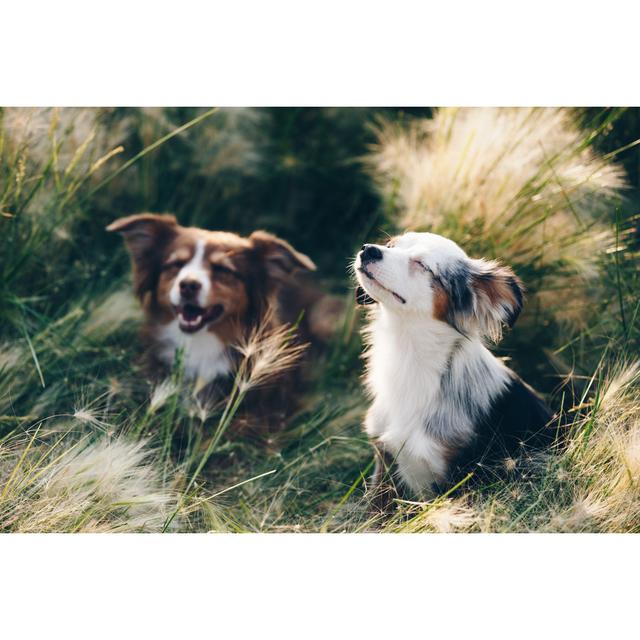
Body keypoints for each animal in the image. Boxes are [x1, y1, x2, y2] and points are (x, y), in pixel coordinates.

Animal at [350, 231, 556, 500]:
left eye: (422, 265)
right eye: (391, 245)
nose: (368, 250)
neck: (408, 354)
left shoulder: (455, 480)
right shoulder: (384, 465)